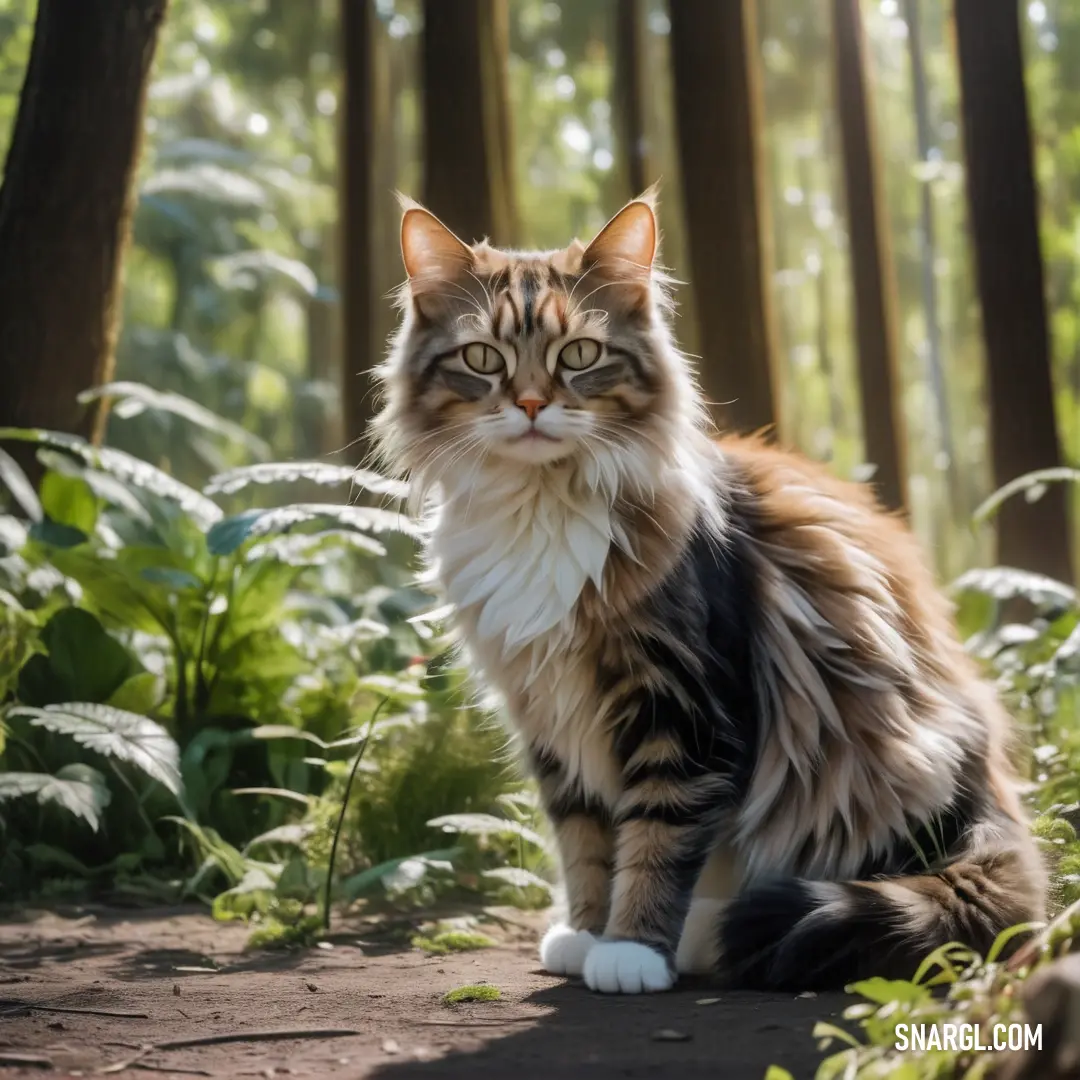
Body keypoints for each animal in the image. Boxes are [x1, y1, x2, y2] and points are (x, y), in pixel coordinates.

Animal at [371, 190, 1045, 989]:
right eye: (483, 358)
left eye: (579, 355)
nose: (532, 404)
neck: (540, 508)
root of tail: (993, 800)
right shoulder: (550, 718)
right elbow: (585, 840)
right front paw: (585, 933)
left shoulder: (684, 704)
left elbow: (656, 839)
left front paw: (630, 949)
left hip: (886, 760)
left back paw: (701, 936)